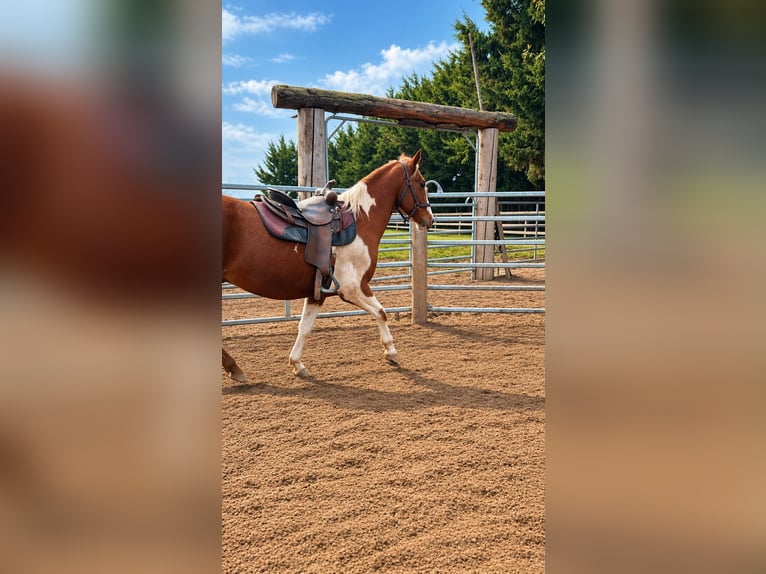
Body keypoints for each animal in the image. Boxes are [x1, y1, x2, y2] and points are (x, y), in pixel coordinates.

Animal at [222, 150, 434, 383]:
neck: (360, 220)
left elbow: (305, 327)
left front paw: (297, 364)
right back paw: (234, 368)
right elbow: (381, 312)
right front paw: (391, 352)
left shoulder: (318, 292)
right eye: (421, 183)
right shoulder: (353, 288)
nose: (430, 220)